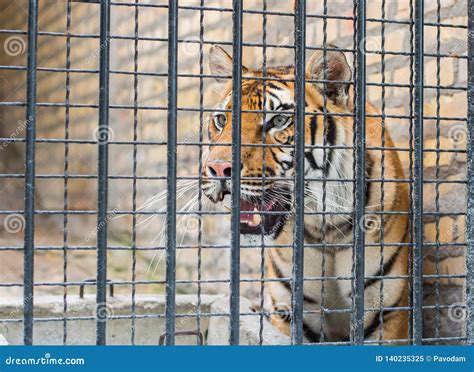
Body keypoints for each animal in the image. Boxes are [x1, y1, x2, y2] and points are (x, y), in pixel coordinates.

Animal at [202, 45, 410, 344]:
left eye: (278, 120)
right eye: (221, 120)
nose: (218, 168)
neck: (325, 226)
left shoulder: (385, 313)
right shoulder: (291, 313)